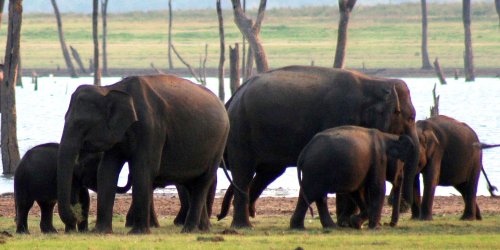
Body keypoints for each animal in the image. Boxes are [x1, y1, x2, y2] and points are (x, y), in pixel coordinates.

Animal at [57, 74, 229, 234]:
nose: (76, 218)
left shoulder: (150, 128)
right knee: (191, 184)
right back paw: (203, 229)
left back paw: (189, 230)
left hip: (219, 144)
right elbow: (106, 170)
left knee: (202, 182)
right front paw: (101, 231)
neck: (111, 88)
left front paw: (138, 232)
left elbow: (143, 169)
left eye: (81, 123)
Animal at [221, 65, 420, 229]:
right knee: (244, 172)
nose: (392, 222)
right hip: (241, 131)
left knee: (268, 172)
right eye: (411, 118)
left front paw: (348, 222)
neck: (374, 82)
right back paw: (243, 225)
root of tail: (234, 97)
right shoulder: (341, 114)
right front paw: (346, 222)